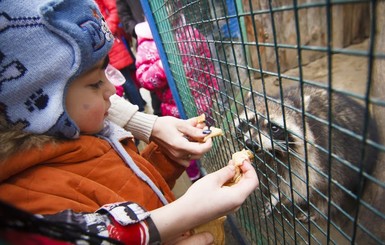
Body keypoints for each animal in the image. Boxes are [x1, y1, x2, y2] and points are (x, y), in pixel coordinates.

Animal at [236, 85, 376, 223]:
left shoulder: (315, 154)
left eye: (274, 128)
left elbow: (299, 183)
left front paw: (278, 196)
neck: (273, 152)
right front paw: (274, 195)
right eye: (250, 121)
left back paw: (317, 211)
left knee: (333, 190)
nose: (251, 144)